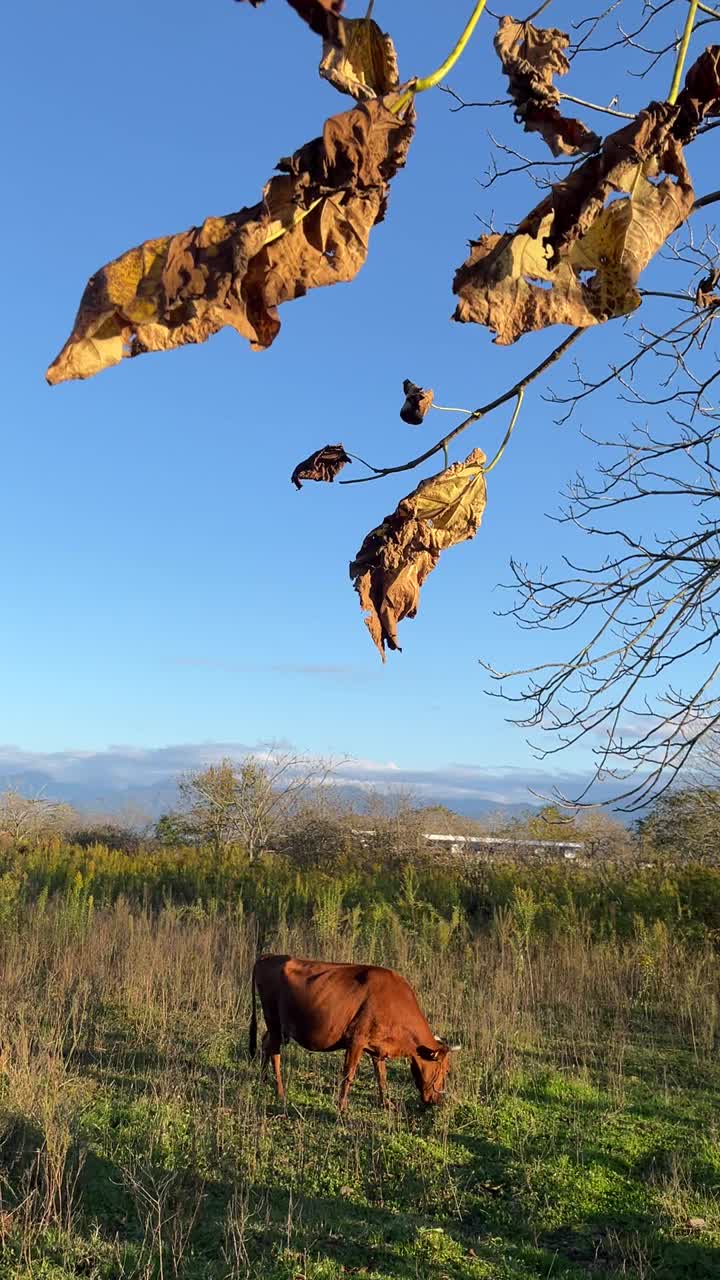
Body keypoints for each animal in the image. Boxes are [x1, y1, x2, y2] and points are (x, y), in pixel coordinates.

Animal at [248, 952, 458, 1111]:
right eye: (445, 1070)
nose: (437, 1101)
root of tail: (268, 956)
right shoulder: (356, 1040)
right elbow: (349, 1075)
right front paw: (342, 1106)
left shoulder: (377, 1048)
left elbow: (381, 1077)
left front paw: (386, 1104)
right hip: (274, 1019)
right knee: (274, 1052)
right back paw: (280, 1093)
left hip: (275, 1026)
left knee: (265, 1042)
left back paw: (263, 1079)